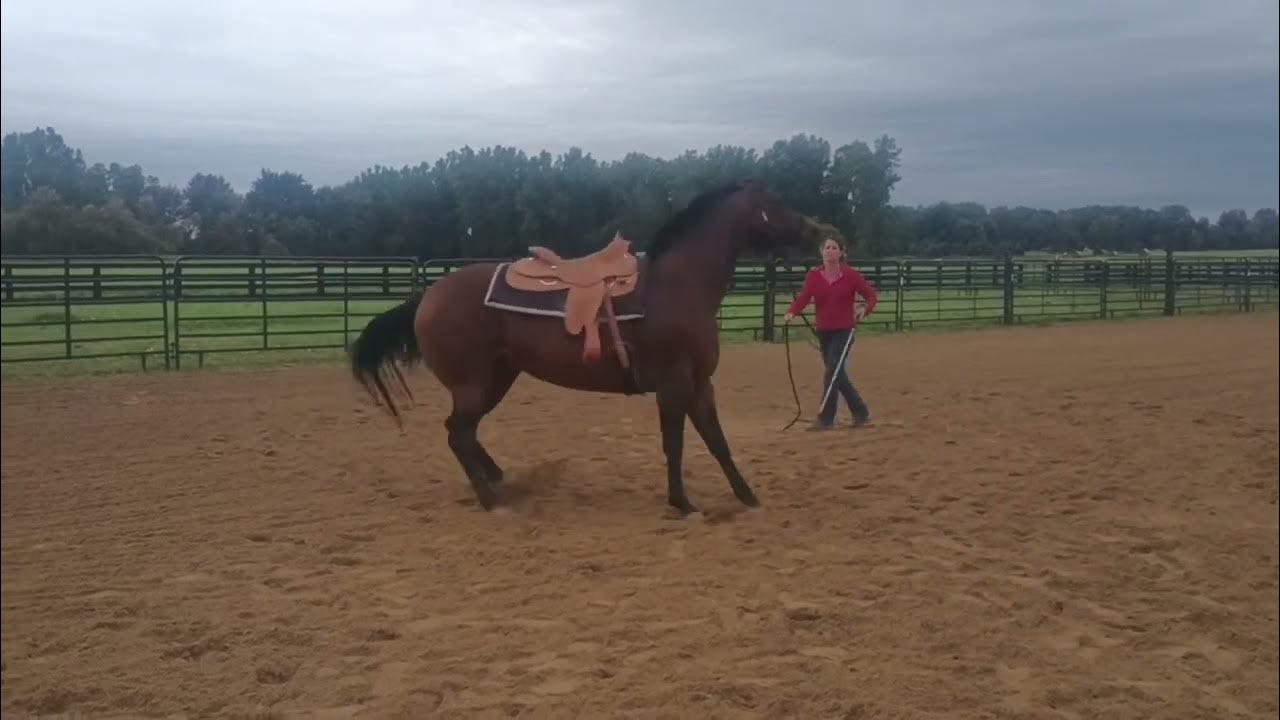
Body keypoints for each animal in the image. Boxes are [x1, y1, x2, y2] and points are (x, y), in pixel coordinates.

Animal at [349, 179, 814, 516]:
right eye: (776, 203)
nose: (816, 228)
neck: (677, 285)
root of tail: (427, 297)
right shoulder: (673, 385)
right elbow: (675, 443)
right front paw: (682, 503)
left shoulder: (700, 385)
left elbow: (717, 441)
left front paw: (747, 496)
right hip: (473, 385)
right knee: (458, 435)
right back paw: (491, 500)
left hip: (497, 379)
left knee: (463, 431)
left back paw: (497, 479)